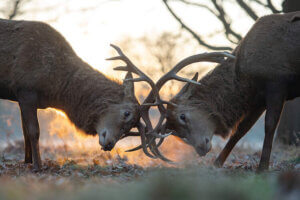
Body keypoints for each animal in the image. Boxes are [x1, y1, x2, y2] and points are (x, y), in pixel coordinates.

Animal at [0, 18, 166, 171]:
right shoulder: (26, 89)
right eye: (127, 113)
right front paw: (38, 167)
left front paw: (27, 162)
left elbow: (25, 132)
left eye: (131, 128)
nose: (109, 144)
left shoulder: (22, 96)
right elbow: (33, 131)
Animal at [127, 10, 300, 171]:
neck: (245, 81)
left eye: (182, 116)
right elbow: (240, 130)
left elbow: (270, 125)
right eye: (174, 131)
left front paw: (262, 167)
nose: (201, 149)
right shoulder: (258, 98)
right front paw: (217, 164)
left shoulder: (276, 82)